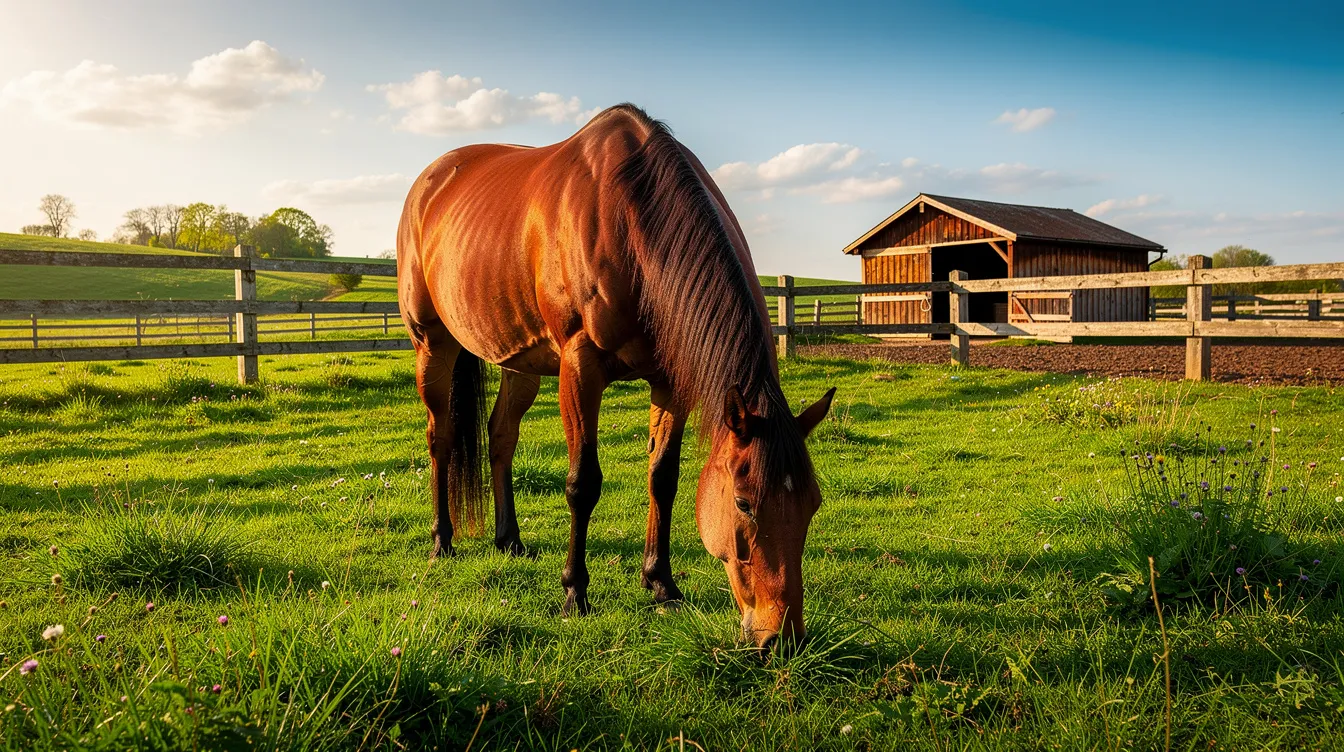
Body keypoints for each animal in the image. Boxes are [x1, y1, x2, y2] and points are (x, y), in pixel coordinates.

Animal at [396, 104, 834, 649]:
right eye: (744, 502)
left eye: (813, 504)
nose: (783, 636)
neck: (630, 220)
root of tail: (429, 182)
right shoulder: (579, 368)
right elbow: (583, 483)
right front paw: (574, 593)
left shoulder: (670, 381)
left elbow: (663, 478)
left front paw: (661, 583)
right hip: (432, 345)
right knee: (441, 437)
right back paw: (443, 541)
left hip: (519, 362)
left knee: (501, 437)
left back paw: (510, 539)